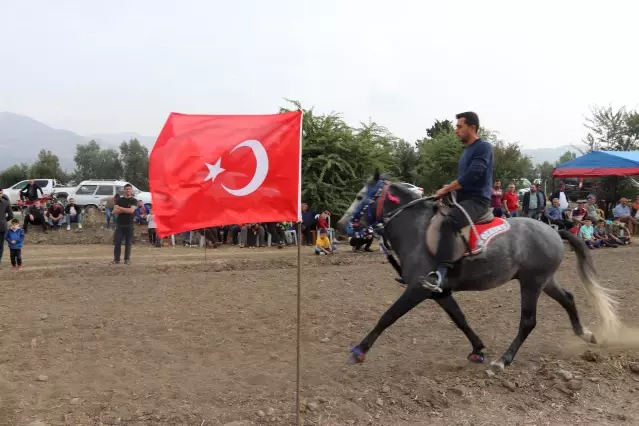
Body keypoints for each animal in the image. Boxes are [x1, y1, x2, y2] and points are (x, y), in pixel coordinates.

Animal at [338, 171, 624, 372]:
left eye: (360, 198)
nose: (341, 225)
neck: (417, 230)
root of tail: (553, 230)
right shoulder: (439, 291)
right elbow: (460, 319)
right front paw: (477, 349)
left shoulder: (418, 289)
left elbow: (387, 316)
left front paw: (359, 351)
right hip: (544, 280)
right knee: (568, 299)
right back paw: (585, 334)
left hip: (532, 283)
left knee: (528, 321)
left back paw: (503, 361)